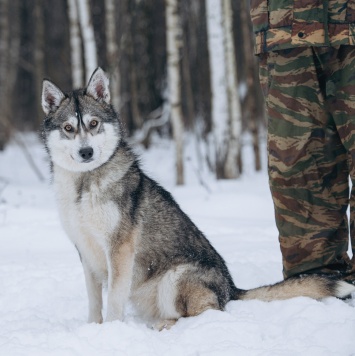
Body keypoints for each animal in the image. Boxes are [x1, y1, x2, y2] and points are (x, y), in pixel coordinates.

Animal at [40, 68, 354, 330]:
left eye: (93, 123)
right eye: (68, 128)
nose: (86, 152)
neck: (84, 185)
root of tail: (231, 288)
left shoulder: (120, 249)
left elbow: (114, 300)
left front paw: (112, 331)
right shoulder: (85, 252)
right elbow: (95, 301)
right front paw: (93, 330)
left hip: (175, 278)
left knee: (206, 314)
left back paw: (167, 326)